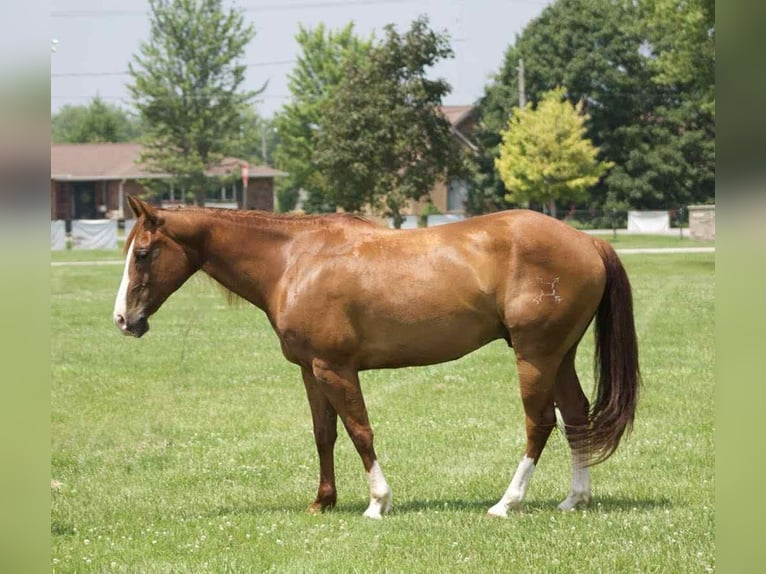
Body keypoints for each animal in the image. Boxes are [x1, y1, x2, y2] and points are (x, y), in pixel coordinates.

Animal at [113, 196, 639, 519]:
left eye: (143, 254)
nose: (123, 319)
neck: (294, 260)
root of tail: (588, 240)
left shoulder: (336, 369)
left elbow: (359, 430)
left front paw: (377, 502)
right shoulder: (311, 371)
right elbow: (324, 434)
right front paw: (323, 501)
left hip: (535, 356)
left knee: (540, 422)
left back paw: (507, 503)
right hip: (560, 355)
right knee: (576, 417)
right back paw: (575, 498)